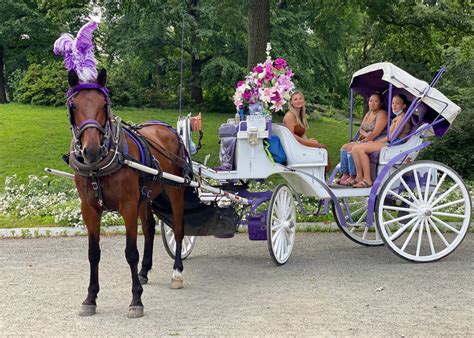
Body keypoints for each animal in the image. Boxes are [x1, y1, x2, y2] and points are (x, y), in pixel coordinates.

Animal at [67, 68, 189, 316]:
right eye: (73, 106)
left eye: (104, 104)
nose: (91, 150)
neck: (100, 165)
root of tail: (167, 128)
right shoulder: (89, 209)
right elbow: (93, 253)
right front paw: (90, 297)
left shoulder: (128, 206)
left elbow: (131, 252)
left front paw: (136, 300)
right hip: (146, 196)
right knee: (150, 228)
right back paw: (144, 271)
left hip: (175, 190)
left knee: (179, 229)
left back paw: (177, 272)